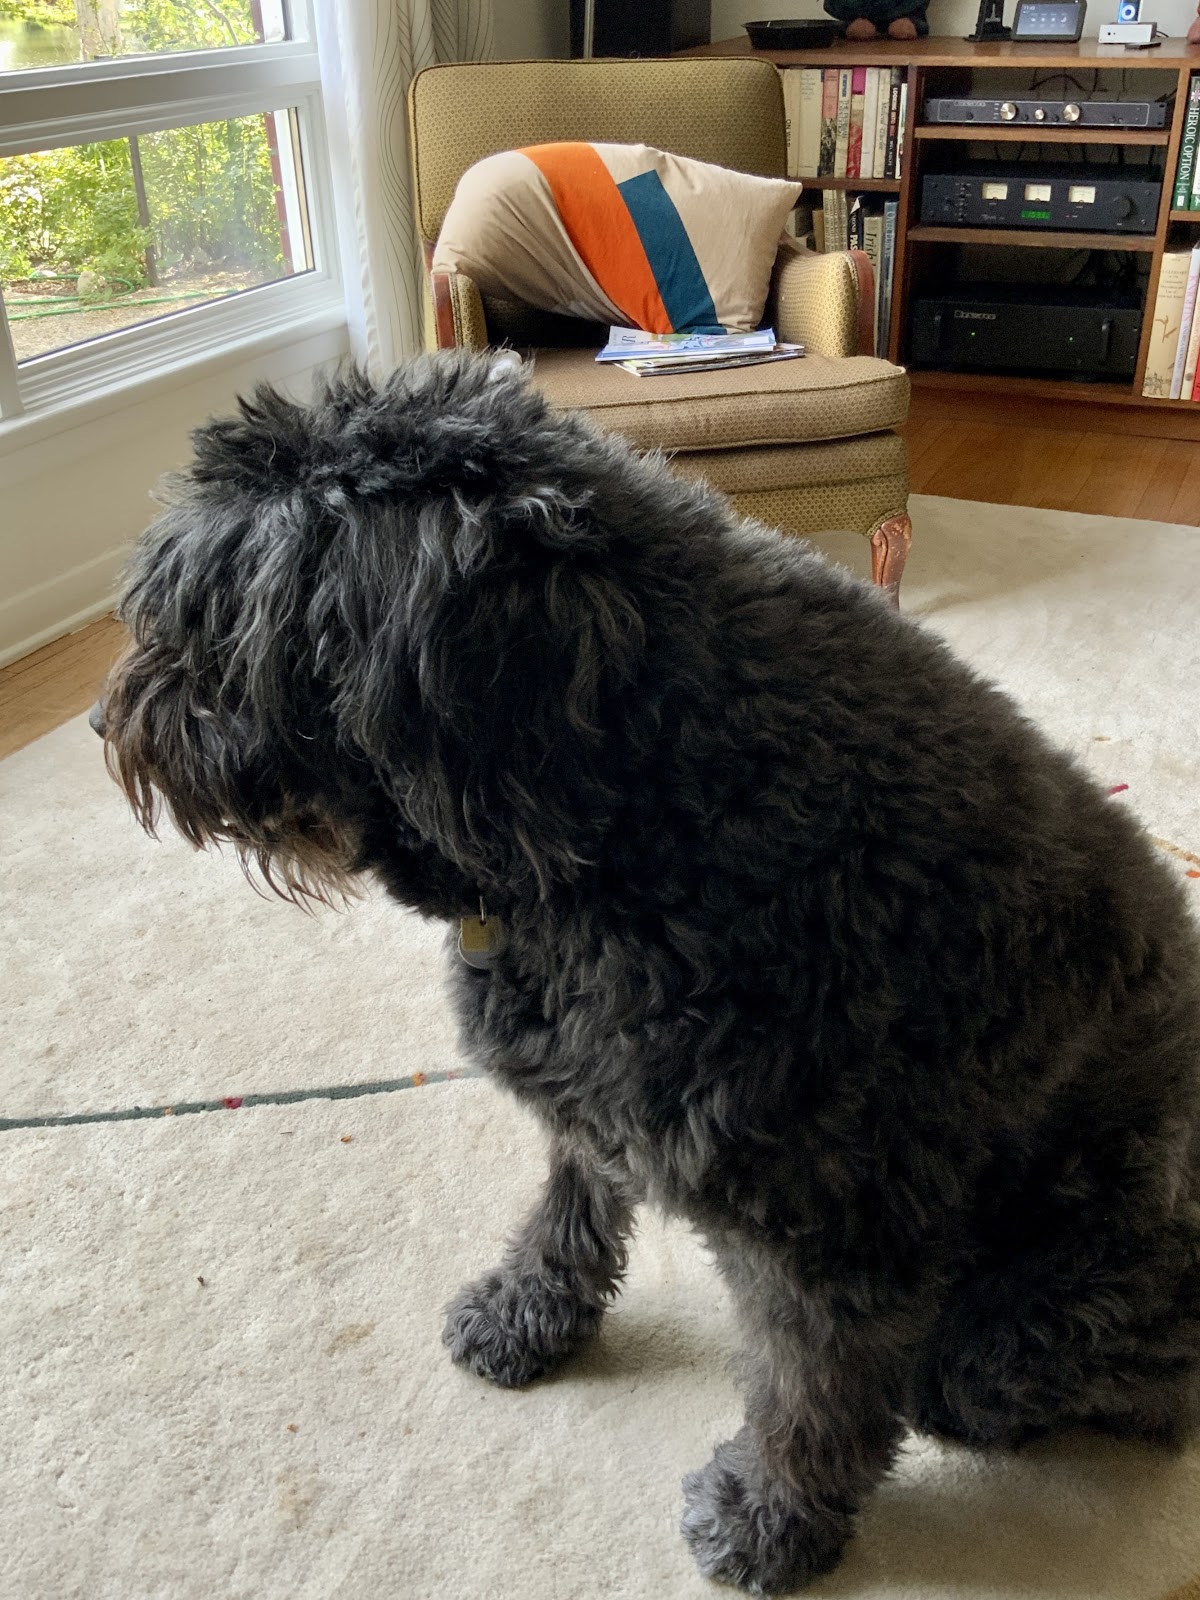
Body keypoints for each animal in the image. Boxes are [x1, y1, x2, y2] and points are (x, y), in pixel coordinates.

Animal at [95, 353, 1200, 1594]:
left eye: (228, 629)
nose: (105, 721)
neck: (638, 792)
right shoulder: (594, 1095)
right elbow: (566, 1211)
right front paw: (530, 1311)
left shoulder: (837, 1231)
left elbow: (812, 1394)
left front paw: (773, 1517)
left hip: (1055, 1293)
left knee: (1064, 1384)